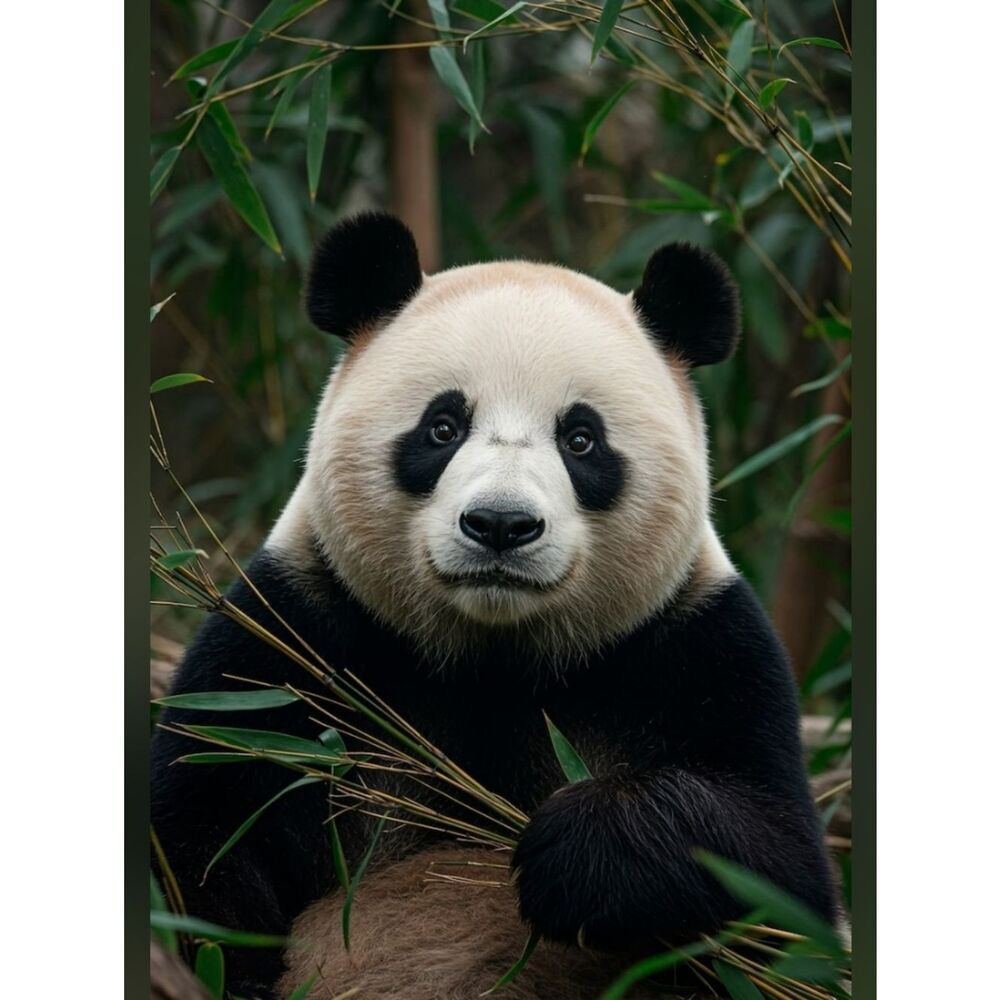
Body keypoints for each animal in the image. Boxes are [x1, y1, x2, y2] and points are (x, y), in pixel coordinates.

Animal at [151, 211, 837, 999]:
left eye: (581, 438)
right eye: (443, 427)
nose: (502, 525)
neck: (495, 656)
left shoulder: (694, 648)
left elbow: (780, 875)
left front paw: (580, 851)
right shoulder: (292, 640)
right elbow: (200, 843)